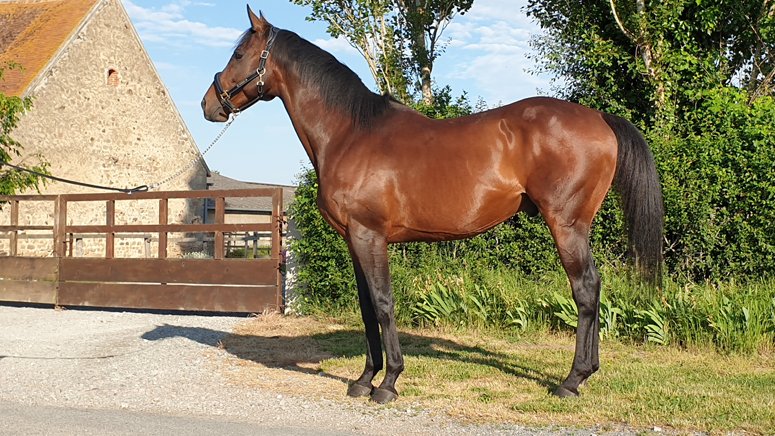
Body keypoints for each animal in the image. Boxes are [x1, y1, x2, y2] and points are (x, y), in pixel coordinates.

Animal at [201, 7, 664, 404]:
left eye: (239, 53)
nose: (209, 104)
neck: (351, 132)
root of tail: (599, 118)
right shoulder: (354, 239)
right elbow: (367, 308)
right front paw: (364, 379)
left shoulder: (370, 236)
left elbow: (384, 303)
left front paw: (389, 382)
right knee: (594, 287)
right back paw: (587, 373)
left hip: (566, 225)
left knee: (584, 289)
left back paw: (571, 380)